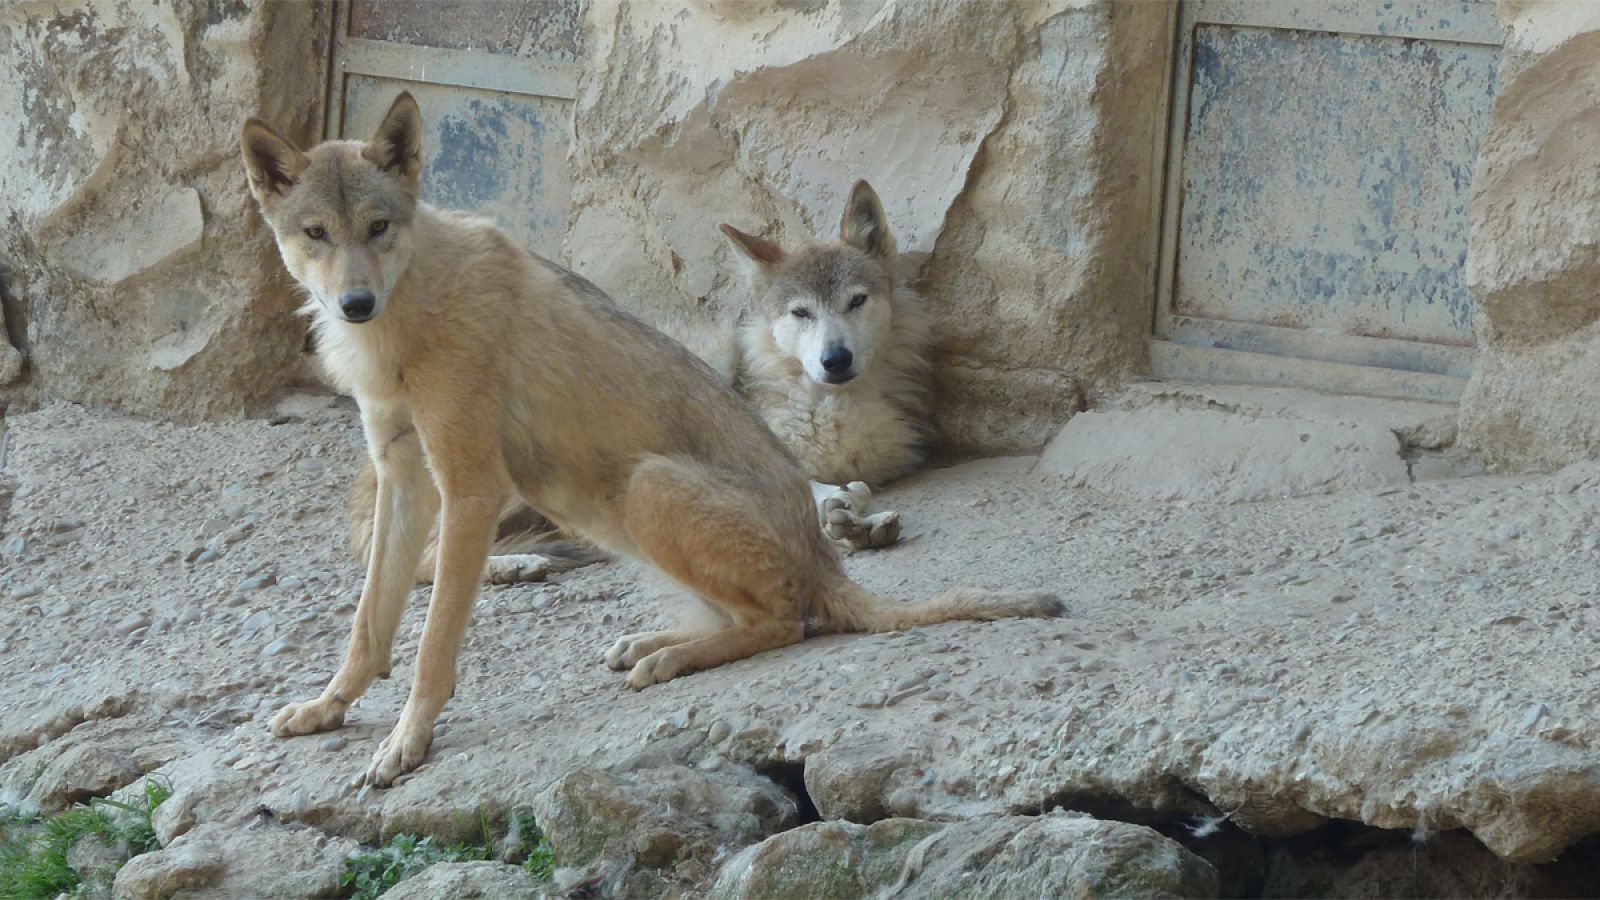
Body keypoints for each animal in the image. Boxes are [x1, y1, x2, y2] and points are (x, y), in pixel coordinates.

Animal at [236, 87, 1062, 781]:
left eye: (378, 228)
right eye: (316, 234)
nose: (354, 303)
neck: (406, 319)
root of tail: (826, 562)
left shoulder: (468, 486)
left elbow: (431, 647)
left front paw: (407, 741)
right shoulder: (409, 480)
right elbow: (369, 626)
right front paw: (329, 708)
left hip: (642, 488)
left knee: (786, 623)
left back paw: (669, 654)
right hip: (603, 513)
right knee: (757, 613)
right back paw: (654, 641)